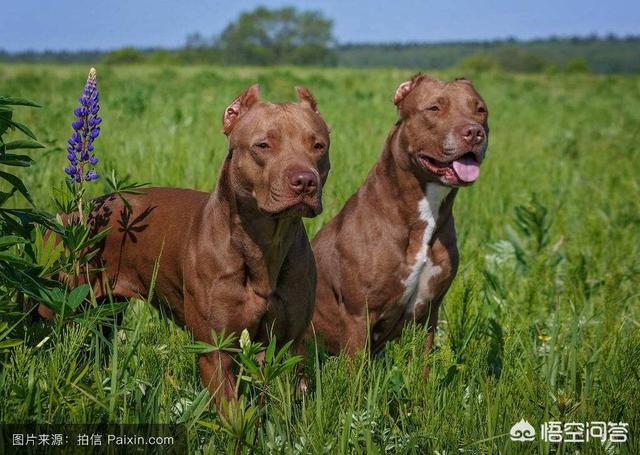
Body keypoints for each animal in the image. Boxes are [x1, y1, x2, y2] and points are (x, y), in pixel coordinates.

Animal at [41, 83, 330, 400]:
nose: (304, 181)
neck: (265, 243)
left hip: (107, 312)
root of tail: (73, 215)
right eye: (263, 145)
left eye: (318, 146)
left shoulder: (290, 348)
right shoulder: (215, 351)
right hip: (55, 305)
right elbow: (232, 409)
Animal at [312, 73, 488, 362]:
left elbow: (422, 367)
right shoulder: (357, 316)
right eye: (434, 108)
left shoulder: (429, 314)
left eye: (480, 110)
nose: (474, 132)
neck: (425, 211)